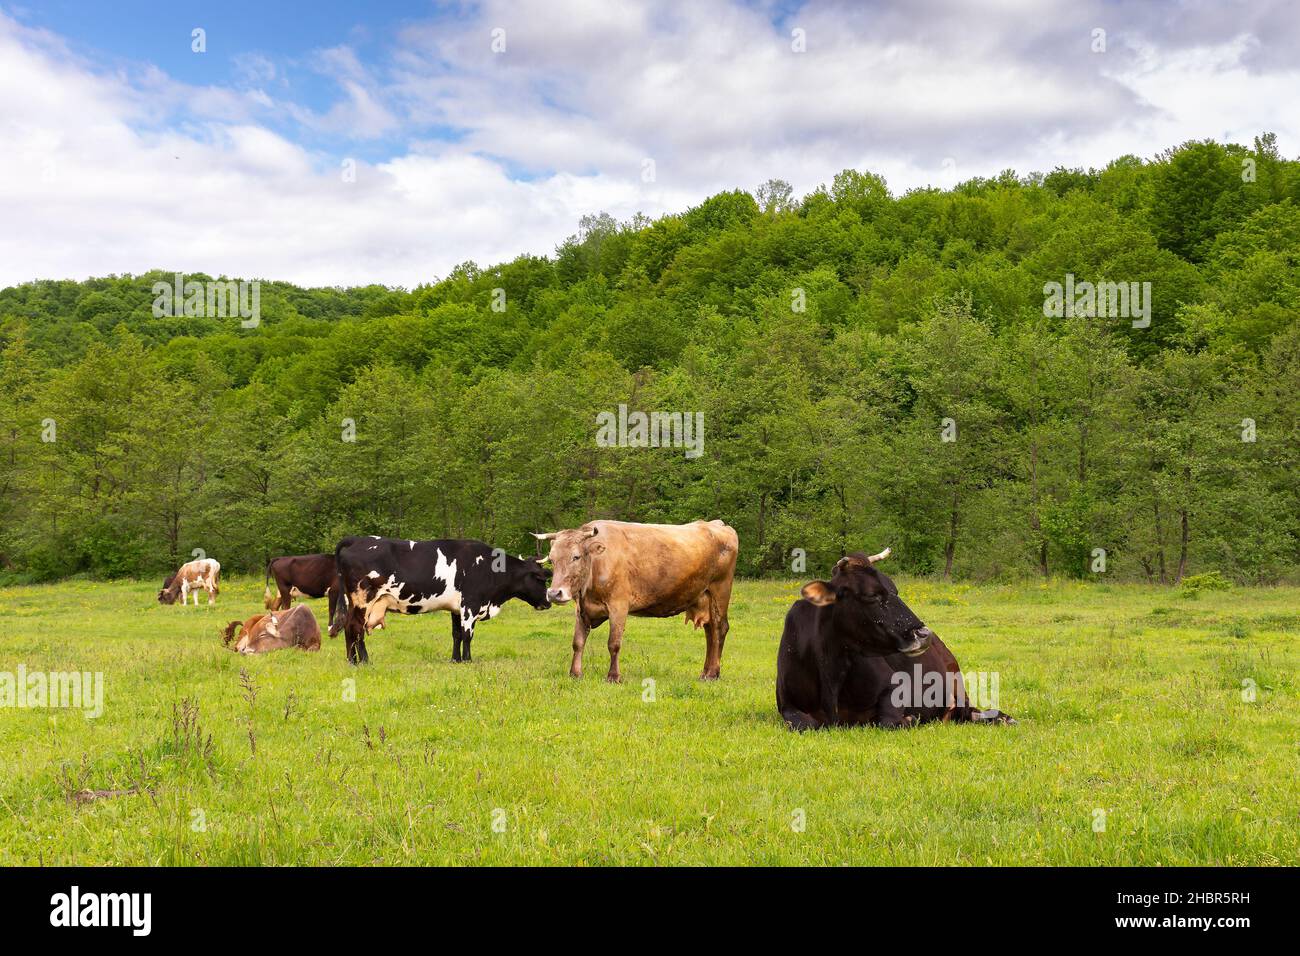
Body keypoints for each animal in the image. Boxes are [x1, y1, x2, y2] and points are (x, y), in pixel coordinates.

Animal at [332, 538, 551, 665]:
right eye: (541, 579)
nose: (548, 602)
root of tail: (357, 540)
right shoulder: (470, 605)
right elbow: (467, 635)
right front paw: (468, 660)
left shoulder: (456, 608)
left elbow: (456, 634)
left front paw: (455, 660)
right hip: (364, 600)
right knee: (356, 628)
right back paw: (364, 661)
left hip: (353, 602)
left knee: (348, 628)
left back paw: (352, 661)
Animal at [525, 520, 733, 686]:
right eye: (552, 559)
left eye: (576, 557)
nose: (554, 593)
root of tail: (717, 524)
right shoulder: (581, 610)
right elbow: (577, 642)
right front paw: (575, 674)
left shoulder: (618, 606)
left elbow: (614, 643)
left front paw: (613, 676)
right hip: (704, 597)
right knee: (710, 633)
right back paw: (705, 672)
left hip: (720, 592)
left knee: (720, 629)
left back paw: (713, 673)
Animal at [774, 548, 1008, 728]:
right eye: (871, 595)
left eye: (895, 590)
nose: (924, 634)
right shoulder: (787, 705)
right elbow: (805, 724)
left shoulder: (896, 685)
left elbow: (887, 721)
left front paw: (909, 719)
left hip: (956, 683)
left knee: (969, 710)